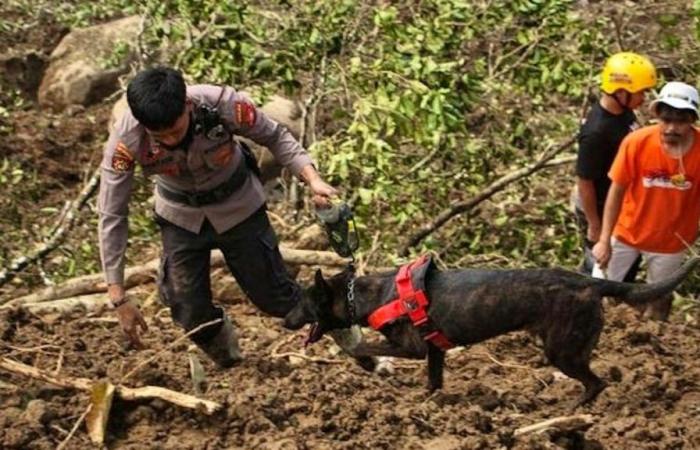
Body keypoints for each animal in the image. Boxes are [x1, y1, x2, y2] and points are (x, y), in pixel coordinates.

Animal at [284, 256, 700, 408]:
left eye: (303, 301)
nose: (283, 319)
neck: (365, 295)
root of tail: (590, 282)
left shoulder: (414, 346)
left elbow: (366, 346)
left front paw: (368, 360)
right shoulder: (434, 351)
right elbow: (434, 380)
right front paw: (426, 403)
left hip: (562, 349)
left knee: (596, 382)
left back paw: (570, 410)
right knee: (595, 380)